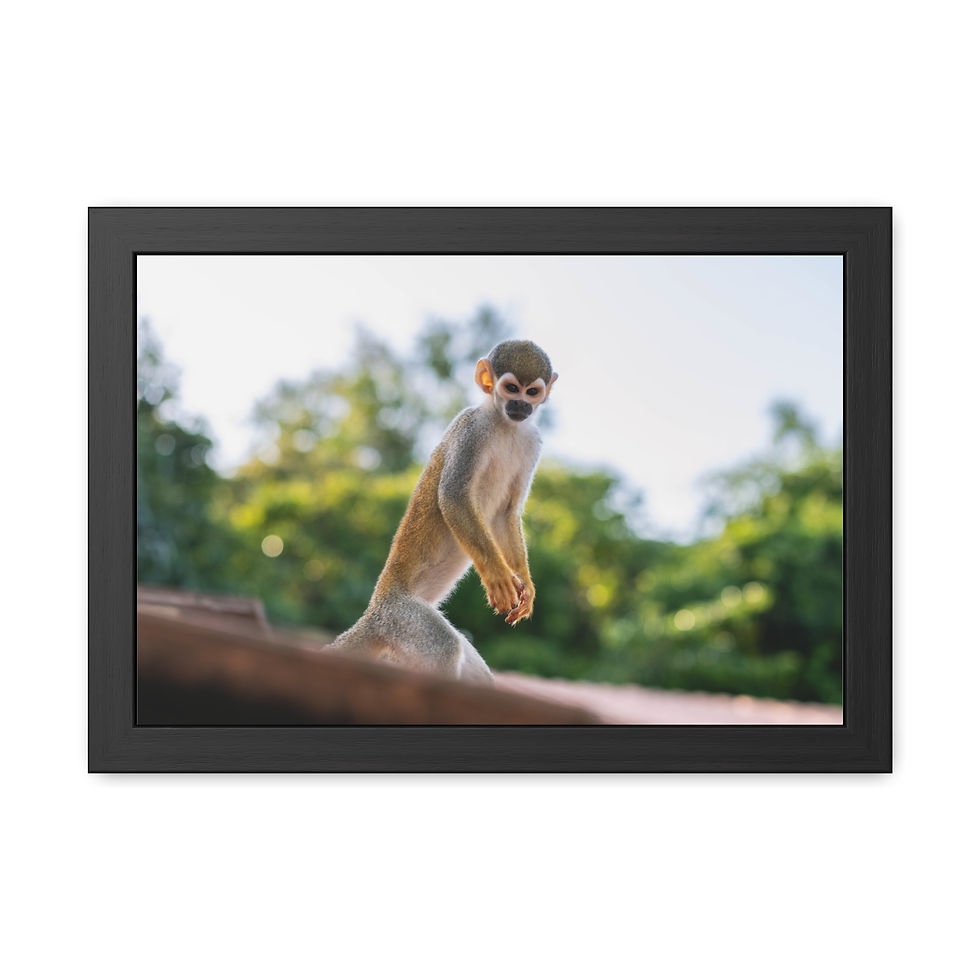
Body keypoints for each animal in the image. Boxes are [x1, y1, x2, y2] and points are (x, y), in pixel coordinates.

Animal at [326, 339, 558, 686]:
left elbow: (506, 513)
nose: (521, 406)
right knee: (444, 648)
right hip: (404, 619)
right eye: (511, 388)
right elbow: (452, 496)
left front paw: (525, 585)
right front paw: (498, 575)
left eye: (532, 392)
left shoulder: (532, 442)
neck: (505, 425)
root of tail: (374, 612)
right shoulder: (471, 430)